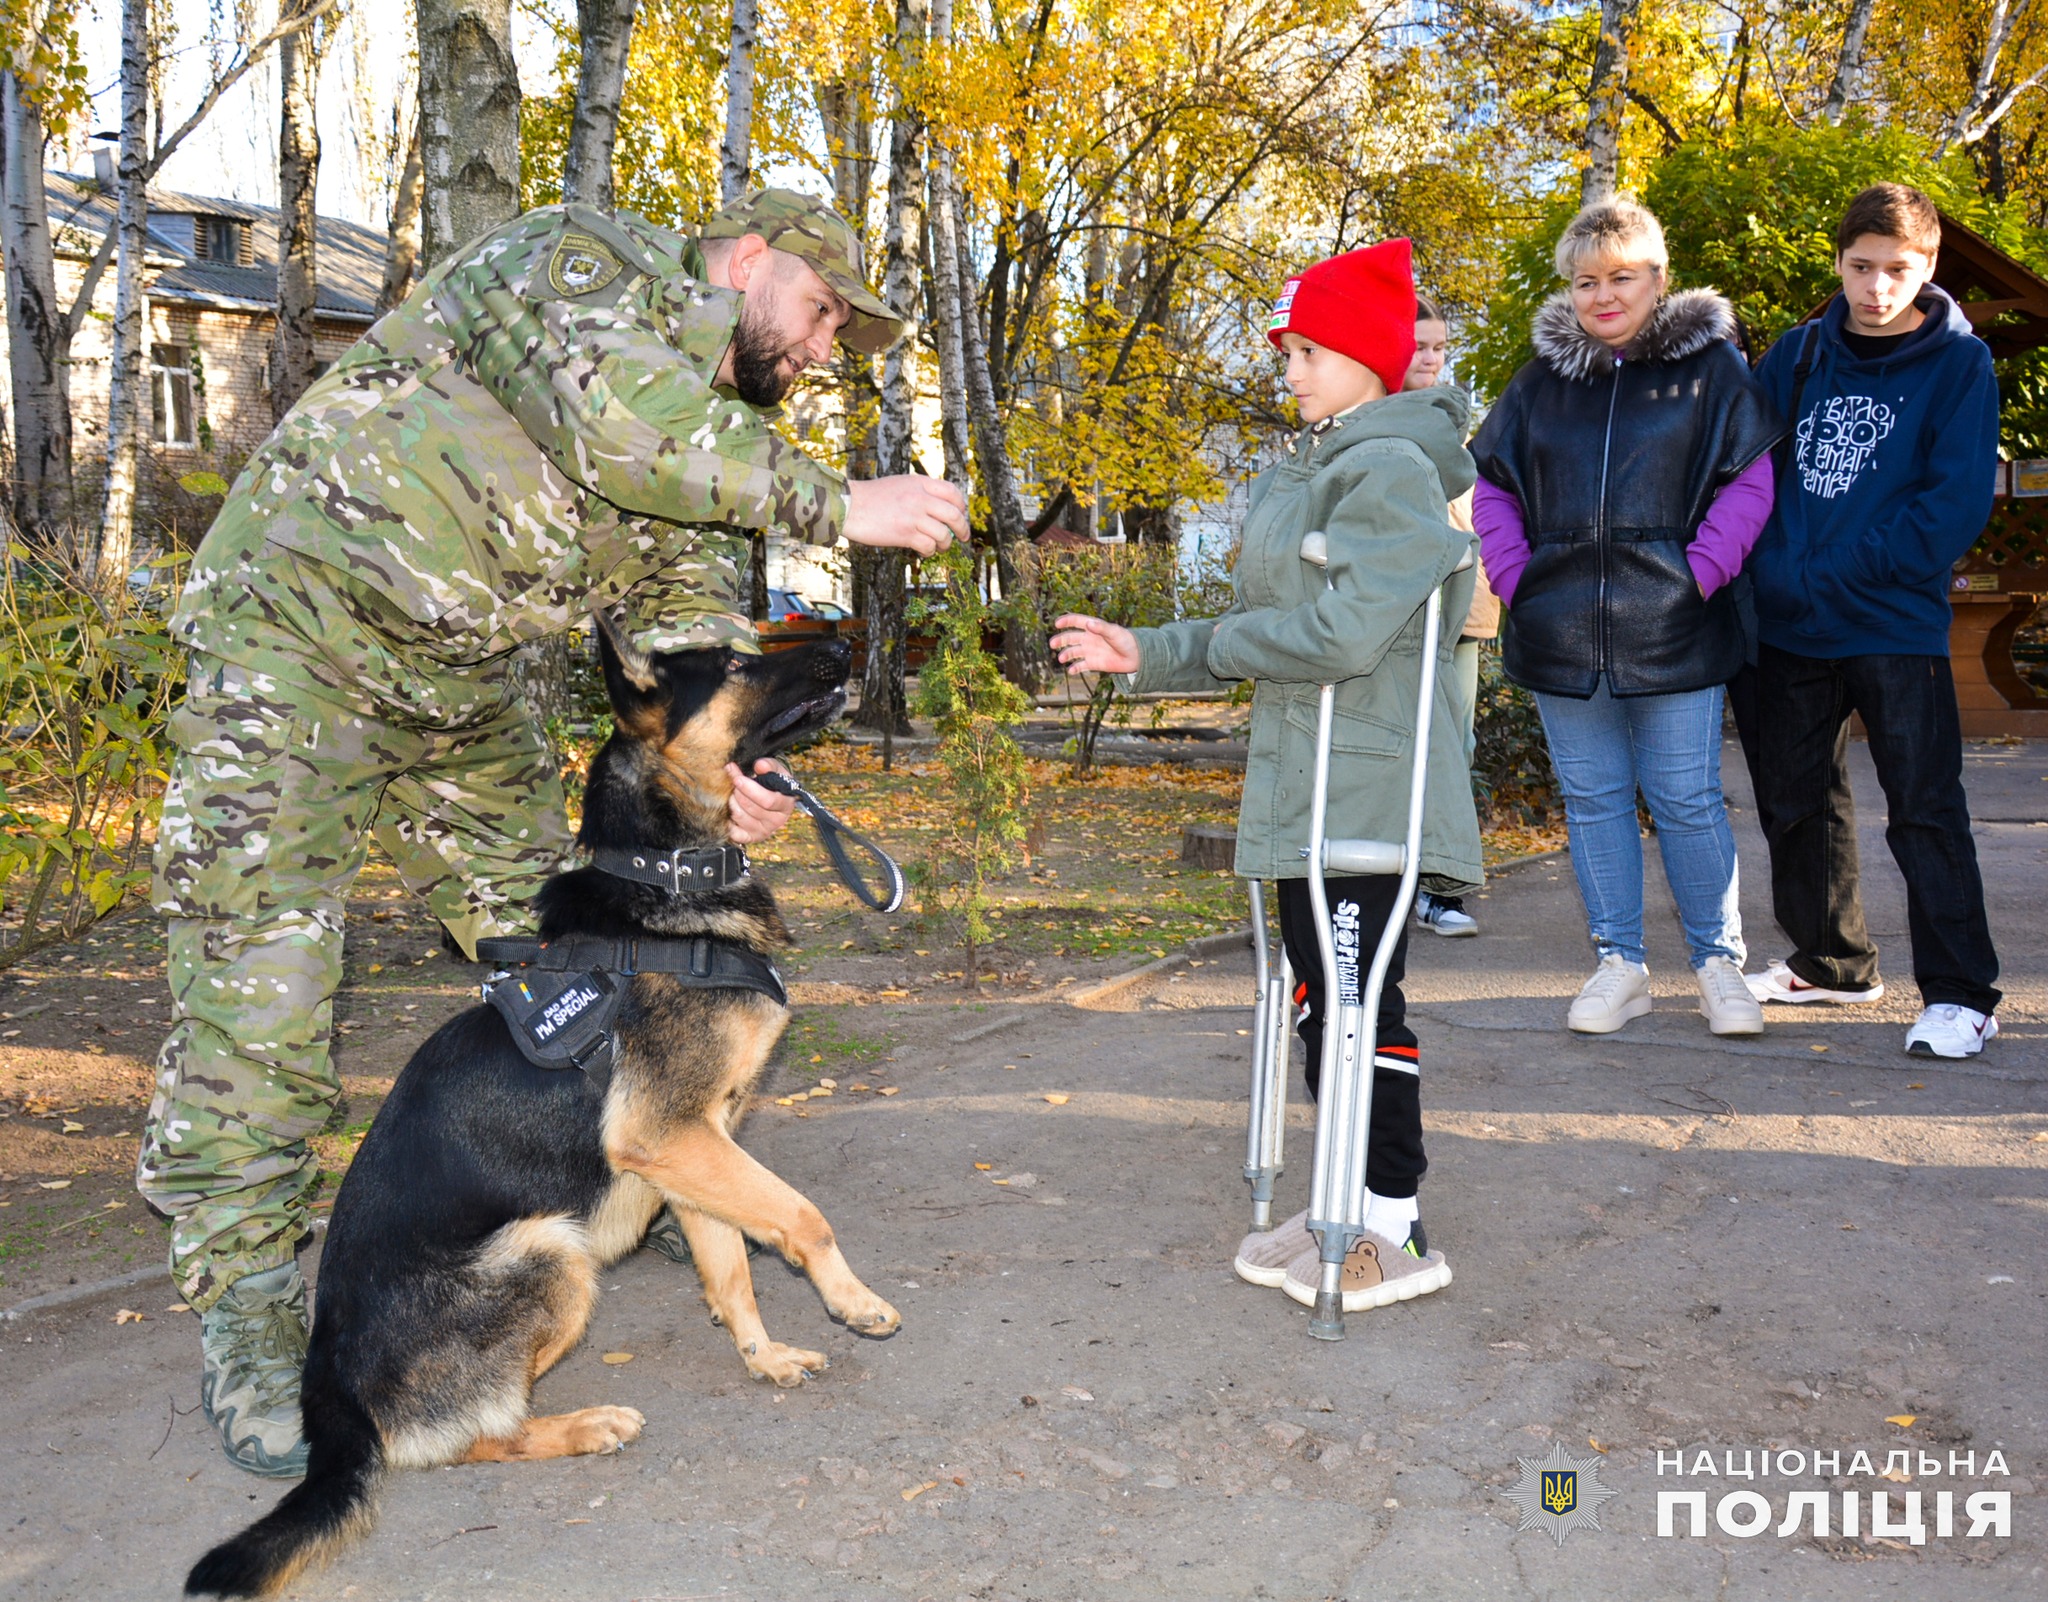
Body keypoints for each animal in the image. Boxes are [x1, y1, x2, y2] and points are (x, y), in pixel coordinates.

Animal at [182, 635, 897, 1597]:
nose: (844, 645)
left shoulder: (695, 1147)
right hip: (551, 1249)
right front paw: (853, 1302)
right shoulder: (670, 1135)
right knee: (466, 1439)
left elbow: (731, 1269)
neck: (664, 880)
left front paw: (765, 1354)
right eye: (737, 665)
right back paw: (584, 1425)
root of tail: (328, 1389)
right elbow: (802, 1216)